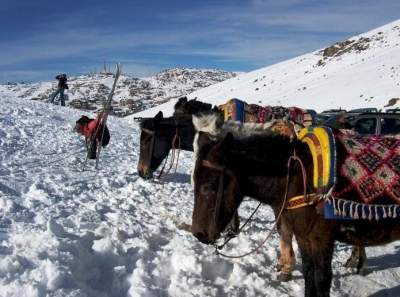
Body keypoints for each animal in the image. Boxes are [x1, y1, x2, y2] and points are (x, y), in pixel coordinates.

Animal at [191, 126, 400, 294]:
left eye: (208, 187)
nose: (199, 234)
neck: (297, 178)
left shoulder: (321, 239)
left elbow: (321, 279)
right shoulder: (302, 236)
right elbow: (308, 273)